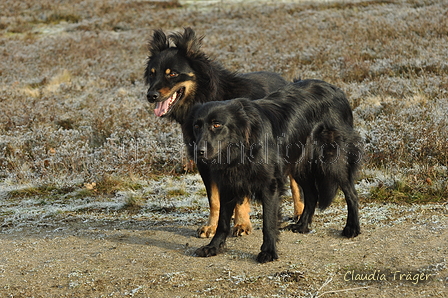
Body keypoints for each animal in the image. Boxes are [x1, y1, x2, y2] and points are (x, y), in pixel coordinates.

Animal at [145, 27, 302, 237]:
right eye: (152, 74)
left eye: (172, 74)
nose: (150, 96)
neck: (207, 98)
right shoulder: (204, 161)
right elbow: (214, 199)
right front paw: (212, 226)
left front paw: (242, 224)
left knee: (295, 183)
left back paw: (299, 212)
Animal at [184, 79, 362, 264]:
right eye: (196, 126)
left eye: (217, 124)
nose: (199, 151)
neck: (241, 149)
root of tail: (337, 90)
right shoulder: (228, 184)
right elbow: (223, 222)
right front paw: (213, 247)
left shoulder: (270, 185)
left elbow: (268, 222)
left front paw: (268, 251)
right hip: (299, 165)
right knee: (312, 194)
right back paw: (302, 225)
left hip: (333, 162)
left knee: (351, 194)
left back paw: (352, 228)